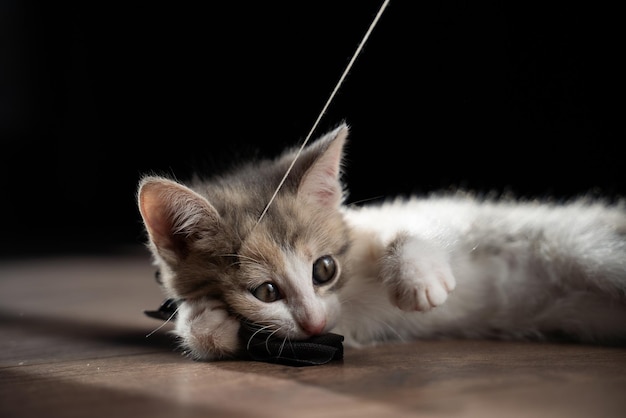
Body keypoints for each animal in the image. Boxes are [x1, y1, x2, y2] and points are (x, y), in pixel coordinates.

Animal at [136, 123, 624, 360]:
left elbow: (418, 222)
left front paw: (418, 279)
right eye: (266, 291)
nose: (314, 324)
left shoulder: (437, 212)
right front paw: (206, 321)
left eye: (324, 269)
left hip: (589, 250)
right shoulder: (344, 328)